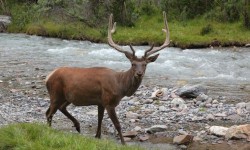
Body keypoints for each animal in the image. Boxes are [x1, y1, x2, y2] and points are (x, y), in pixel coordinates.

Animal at [45, 11, 170, 145]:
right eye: (133, 64)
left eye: (145, 64)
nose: (139, 73)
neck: (120, 87)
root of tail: (48, 77)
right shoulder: (109, 102)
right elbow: (117, 125)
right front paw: (124, 143)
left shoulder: (101, 102)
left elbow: (100, 120)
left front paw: (97, 136)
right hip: (55, 94)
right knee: (49, 113)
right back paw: (50, 130)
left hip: (66, 97)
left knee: (58, 109)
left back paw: (77, 126)